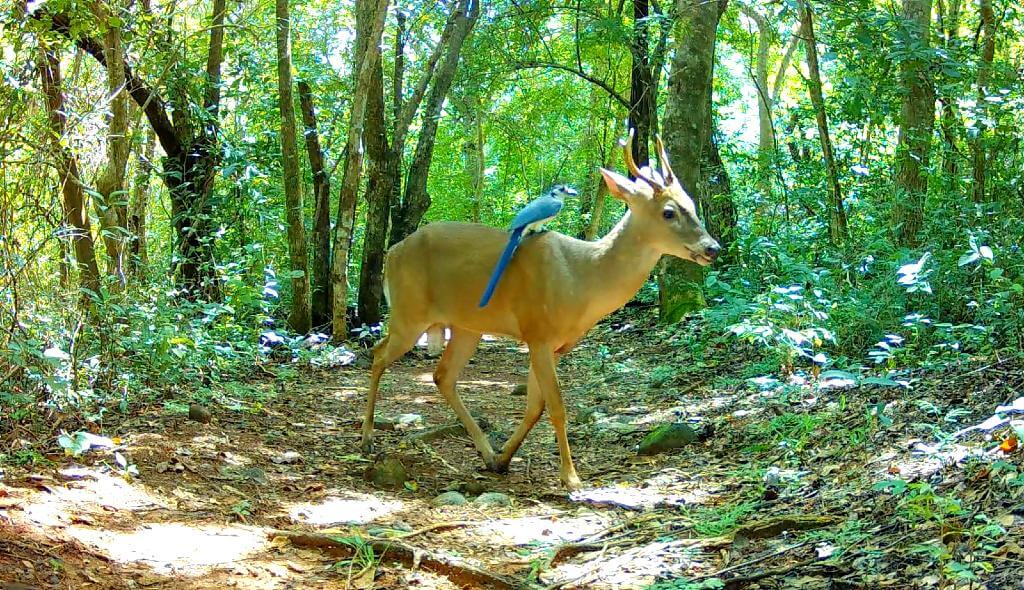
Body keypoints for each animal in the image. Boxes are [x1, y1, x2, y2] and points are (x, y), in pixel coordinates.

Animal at [360, 131, 721, 489]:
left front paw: (505, 458)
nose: (712, 248)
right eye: (669, 212)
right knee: (378, 355)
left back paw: (487, 453)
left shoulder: (557, 344)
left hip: (466, 326)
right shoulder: (538, 332)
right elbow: (556, 405)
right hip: (409, 311)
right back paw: (366, 437)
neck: (584, 278)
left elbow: (535, 404)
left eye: (692, 203)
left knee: (442, 375)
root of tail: (392, 252)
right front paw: (571, 478)